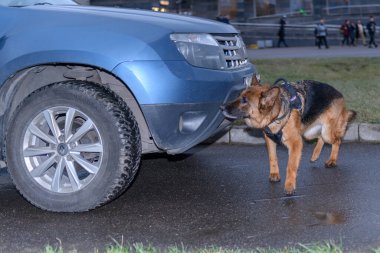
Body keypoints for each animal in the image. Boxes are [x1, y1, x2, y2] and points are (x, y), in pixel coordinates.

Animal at [220, 76, 356, 195]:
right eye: (238, 96)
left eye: (244, 100)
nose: (221, 107)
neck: (277, 114)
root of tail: (339, 94)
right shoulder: (270, 139)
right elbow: (272, 157)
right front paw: (274, 174)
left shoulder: (296, 143)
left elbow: (291, 166)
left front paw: (289, 185)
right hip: (309, 133)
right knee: (320, 138)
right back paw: (315, 155)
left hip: (326, 131)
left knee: (337, 140)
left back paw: (332, 160)